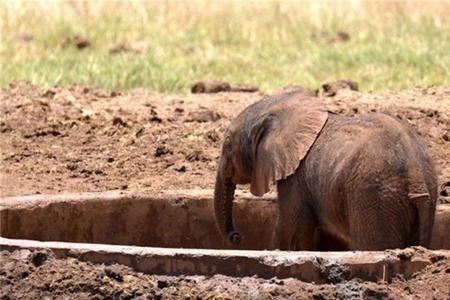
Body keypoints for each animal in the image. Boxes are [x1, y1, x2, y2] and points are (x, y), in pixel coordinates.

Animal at [213, 90, 438, 250]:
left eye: (227, 144)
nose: (237, 236)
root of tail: (416, 175)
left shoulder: (296, 178)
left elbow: (290, 231)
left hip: (375, 197)